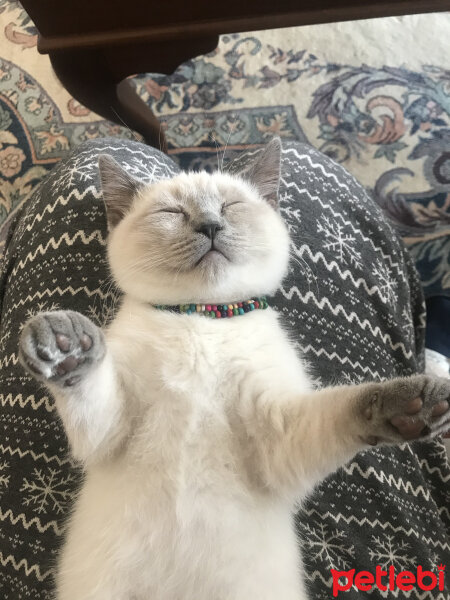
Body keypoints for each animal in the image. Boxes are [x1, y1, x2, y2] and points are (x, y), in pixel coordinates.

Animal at [18, 138, 450, 600]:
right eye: (172, 212)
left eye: (230, 206)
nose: (210, 226)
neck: (203, 316)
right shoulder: (110, 431)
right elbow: (89, 385)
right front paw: (65, 346)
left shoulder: (278, 439)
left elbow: (350, 404)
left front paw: (416, 404)